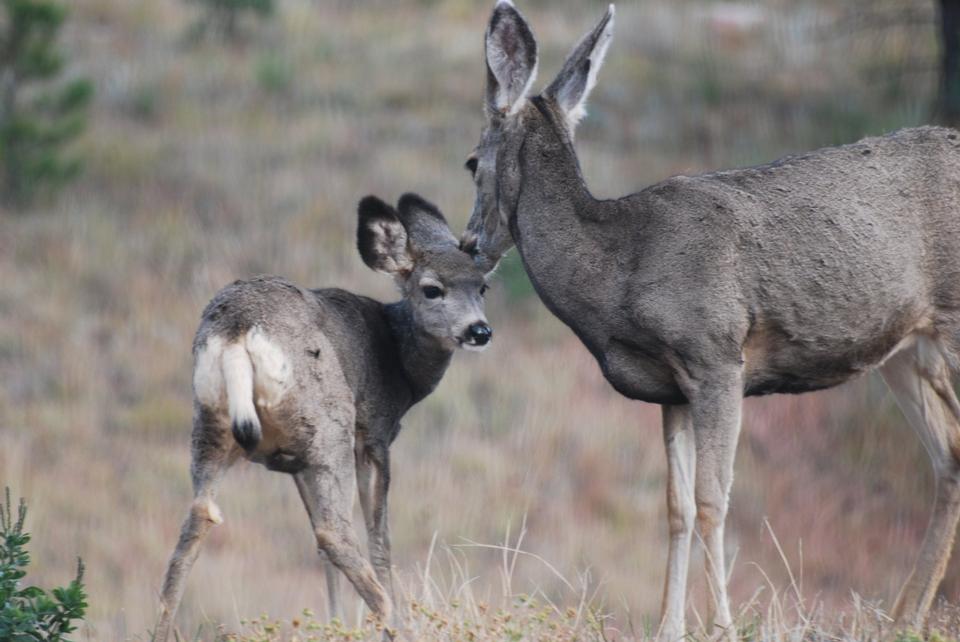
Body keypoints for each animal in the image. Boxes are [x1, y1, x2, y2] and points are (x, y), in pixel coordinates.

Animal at [155, 195, 496, 640]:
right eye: (432, 289)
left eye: (482, 286)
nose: (479, 331)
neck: (400, 361)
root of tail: (238, 330)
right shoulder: (373, 434)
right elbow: (379, 538)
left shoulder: (294, 460)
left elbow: (319, 546)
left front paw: (334, 622)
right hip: (329, 424)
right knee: (336, 532)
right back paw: (393, 622)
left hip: (212, 424)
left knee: (198, 519)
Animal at [464, 2, 960, 636]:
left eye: (471, 162)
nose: (469, 244)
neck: (617, 268)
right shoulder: (669, 388)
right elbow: (675, 507)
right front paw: (668, 626)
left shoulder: (717, 355)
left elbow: (712, 500)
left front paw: (721, 626)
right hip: (904, 350)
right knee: (948, 456)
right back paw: (903, 619)